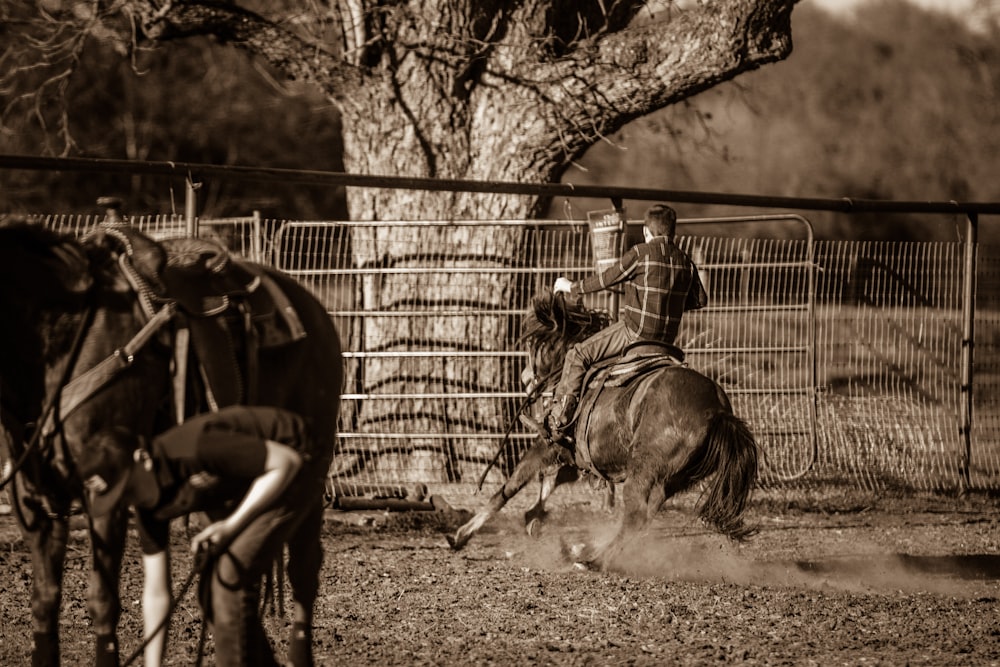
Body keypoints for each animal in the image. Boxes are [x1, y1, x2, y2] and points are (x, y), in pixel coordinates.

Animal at [0, 222, 344, 664]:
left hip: (313, 475)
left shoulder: (107, 491)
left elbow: (102, 604)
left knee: (303, 570)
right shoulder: (35, 503)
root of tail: (313, 308)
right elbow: (43, 604)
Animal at [448, 294, 756, 572]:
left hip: (644, 470)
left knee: (635, 516)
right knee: (644, 518)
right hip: (672, 480)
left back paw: (594, 561)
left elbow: (508, 489)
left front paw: (461, 535)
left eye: (537, 343)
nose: (525, 379)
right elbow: (549, 483)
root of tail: (718, 411)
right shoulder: (574, 454)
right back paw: (588, 552)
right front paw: (534, 518)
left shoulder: (548, 444)